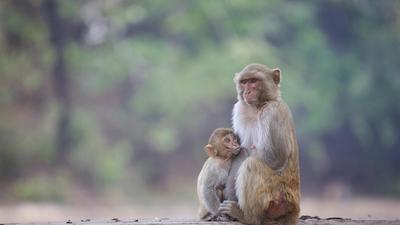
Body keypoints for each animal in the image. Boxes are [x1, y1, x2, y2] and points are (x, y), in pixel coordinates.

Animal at [219, 63, 300, 225]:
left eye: (253, 81)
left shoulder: (273, 112)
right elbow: (240, 151)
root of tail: (294, 210)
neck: (258, 107)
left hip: (278, 197)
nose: (247, 91)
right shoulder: (240, 109)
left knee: (251, 165)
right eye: (244, 82)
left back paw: (247, 217)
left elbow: (276, 158)